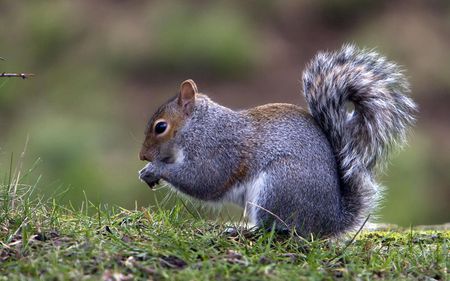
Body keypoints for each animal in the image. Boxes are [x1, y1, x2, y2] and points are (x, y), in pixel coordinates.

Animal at [138, 44, 418, 236]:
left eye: (161, 127)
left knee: (278, 229)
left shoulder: (217, 149)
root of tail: (329, 221)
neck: (197, 126)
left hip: (277, 187)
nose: (143, 156)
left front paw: (155, 169)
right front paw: (147, 170)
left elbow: (204, 180)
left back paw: (243, 231)